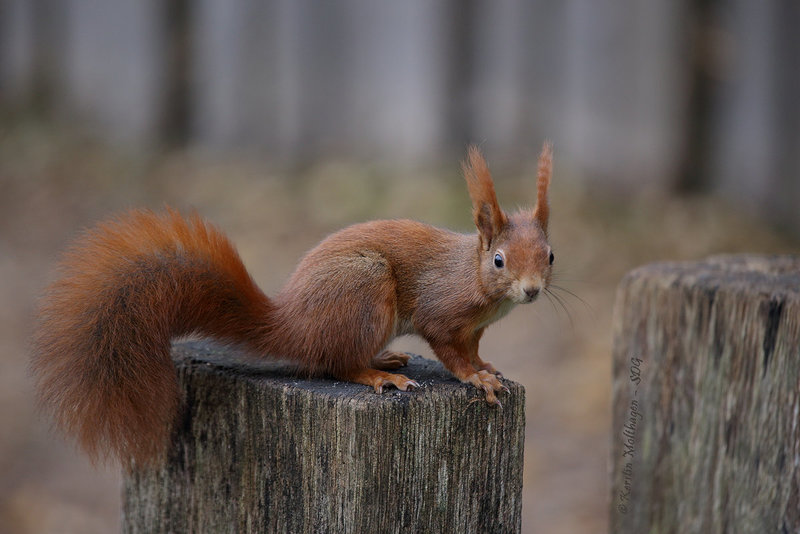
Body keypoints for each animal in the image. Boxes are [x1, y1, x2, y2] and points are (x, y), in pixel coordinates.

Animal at [32, 143, 556, 468]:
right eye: (499, 260)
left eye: (550, 255)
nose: (532, 290)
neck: (476, 280)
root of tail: (291, 325)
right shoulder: (441, 310)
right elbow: (449, 351)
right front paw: (475, 378)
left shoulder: (476, 327)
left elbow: (474, 348)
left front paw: (487, 365)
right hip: (364, 290)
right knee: (336, 363)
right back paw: (378, 375)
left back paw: (386, 358)